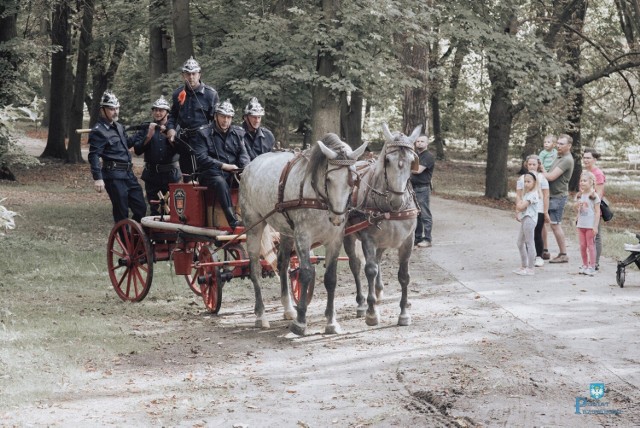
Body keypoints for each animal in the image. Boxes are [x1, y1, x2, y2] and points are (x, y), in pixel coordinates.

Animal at [239, 134, 370, 334]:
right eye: (328, 179)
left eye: (352, 181)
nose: (337, 218)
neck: (319, 198)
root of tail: (250, 166)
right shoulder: (303, 237)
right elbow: (306, 273)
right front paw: (301, 321)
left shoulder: (335, 239)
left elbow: (330, 278)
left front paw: (331, 322)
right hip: (254, 224)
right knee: (255, 269)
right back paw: (260, 315)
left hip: (286, 231)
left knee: (283, 264)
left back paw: (288, 308)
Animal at [342, 123, 422, 328]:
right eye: (387, 160)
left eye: (412, 161)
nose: (397, 200)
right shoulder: (368, 239)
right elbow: (369, 270)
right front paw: (371, 313)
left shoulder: (407, 241)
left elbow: (404, 276)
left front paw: (403, 313)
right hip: (348, 236)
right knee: (356, 265)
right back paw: (362, 303)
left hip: (383, 242)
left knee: (377, 260)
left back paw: (378, 292)